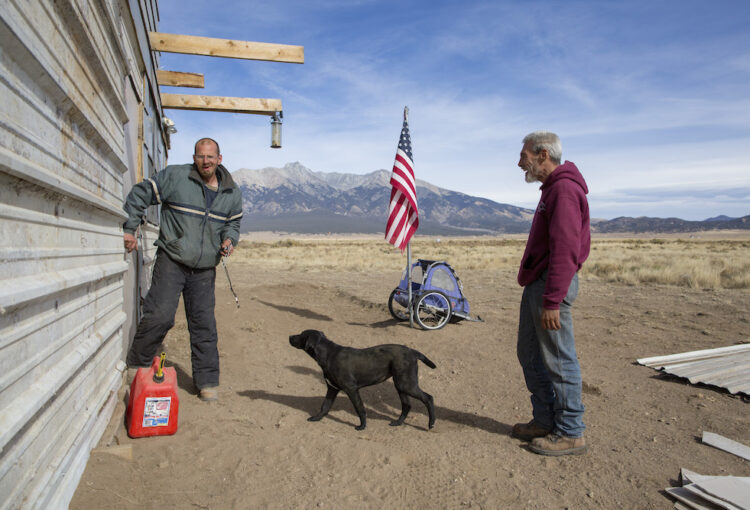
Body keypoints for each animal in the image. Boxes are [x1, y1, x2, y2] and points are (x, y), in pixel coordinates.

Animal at [290, 330, 440, 430]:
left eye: (301, 335)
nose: (289, 336)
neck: (329, 354)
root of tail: (413, 352)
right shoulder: (332, 388)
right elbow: (324, 406)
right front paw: (317, 418)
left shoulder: (351, 389)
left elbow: (360, 408)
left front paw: (362, 426)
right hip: (401, 385)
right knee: (407, 405)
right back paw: (397, 423)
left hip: (406, 384)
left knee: (428, 398)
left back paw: (431, 423)